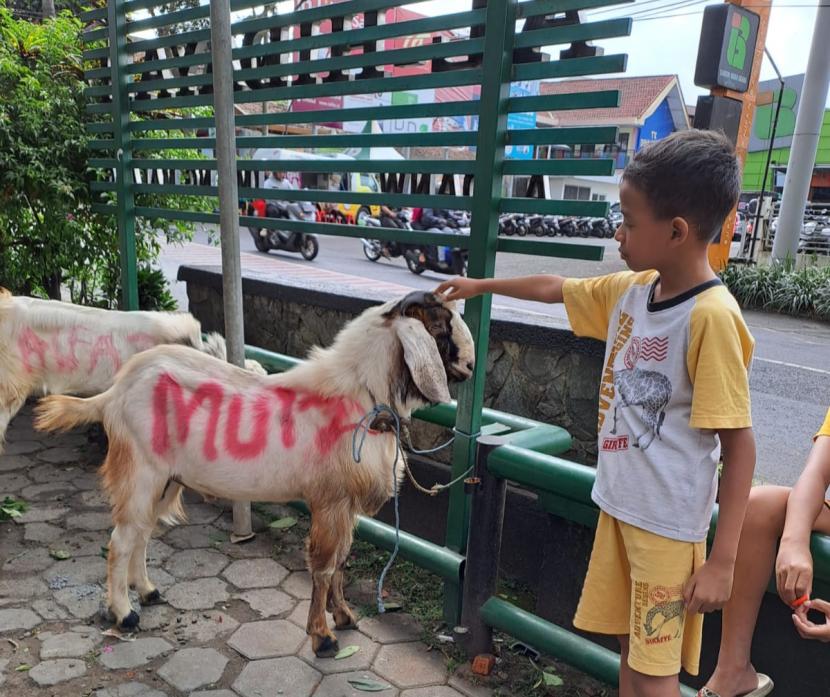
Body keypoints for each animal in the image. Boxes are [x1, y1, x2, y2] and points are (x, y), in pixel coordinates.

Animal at [35, 290, 478, 656]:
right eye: (440, 326)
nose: (471, 366)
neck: (359, 397)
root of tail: (114, 393)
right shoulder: (330, 500)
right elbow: (324, 566)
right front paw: (322, 638)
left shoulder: (346, 505)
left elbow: (341, 561)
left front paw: (345, 616)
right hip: (141, 472)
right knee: (120, 541)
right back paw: (124, 612)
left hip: (164, 480)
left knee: (141, 535)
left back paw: (147, 591)